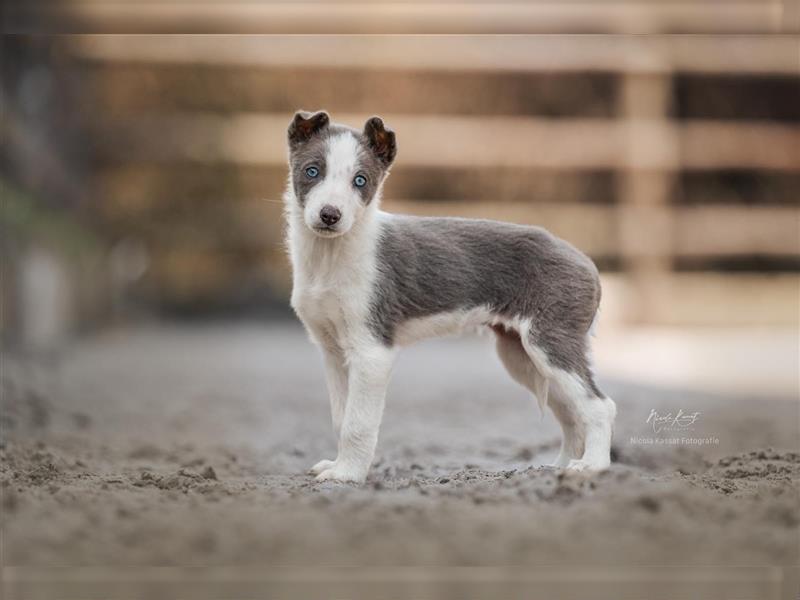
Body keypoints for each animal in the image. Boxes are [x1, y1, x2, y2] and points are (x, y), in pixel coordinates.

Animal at [284, 109, 616, 482]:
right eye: (312, 171)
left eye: (360, 180)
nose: (330, 215)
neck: (329, 258)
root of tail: (587, 263)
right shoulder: (333, 351)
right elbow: (342, 419)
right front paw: (338, 465)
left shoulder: (372, 351)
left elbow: (359, 423)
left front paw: (348, 475)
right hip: (525, 357)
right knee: (571, 413)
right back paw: (558, 467)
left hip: (551, 344)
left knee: (599, 406)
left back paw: (592, 466)